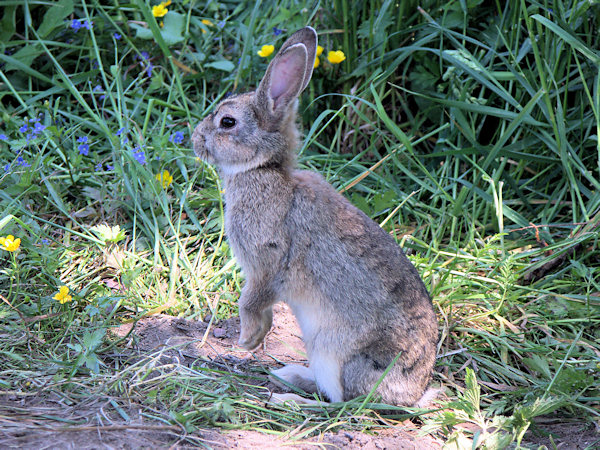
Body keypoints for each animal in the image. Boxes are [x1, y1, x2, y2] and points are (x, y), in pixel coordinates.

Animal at [195, 26, 438, 406]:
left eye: (227, 122)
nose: (195, 139)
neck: (265, 170)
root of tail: (410, 394)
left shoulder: (267, 260)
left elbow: (252, 299)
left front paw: (247, 340)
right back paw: (289, 376)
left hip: (332, 351)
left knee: (342, 405)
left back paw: (287, 398)